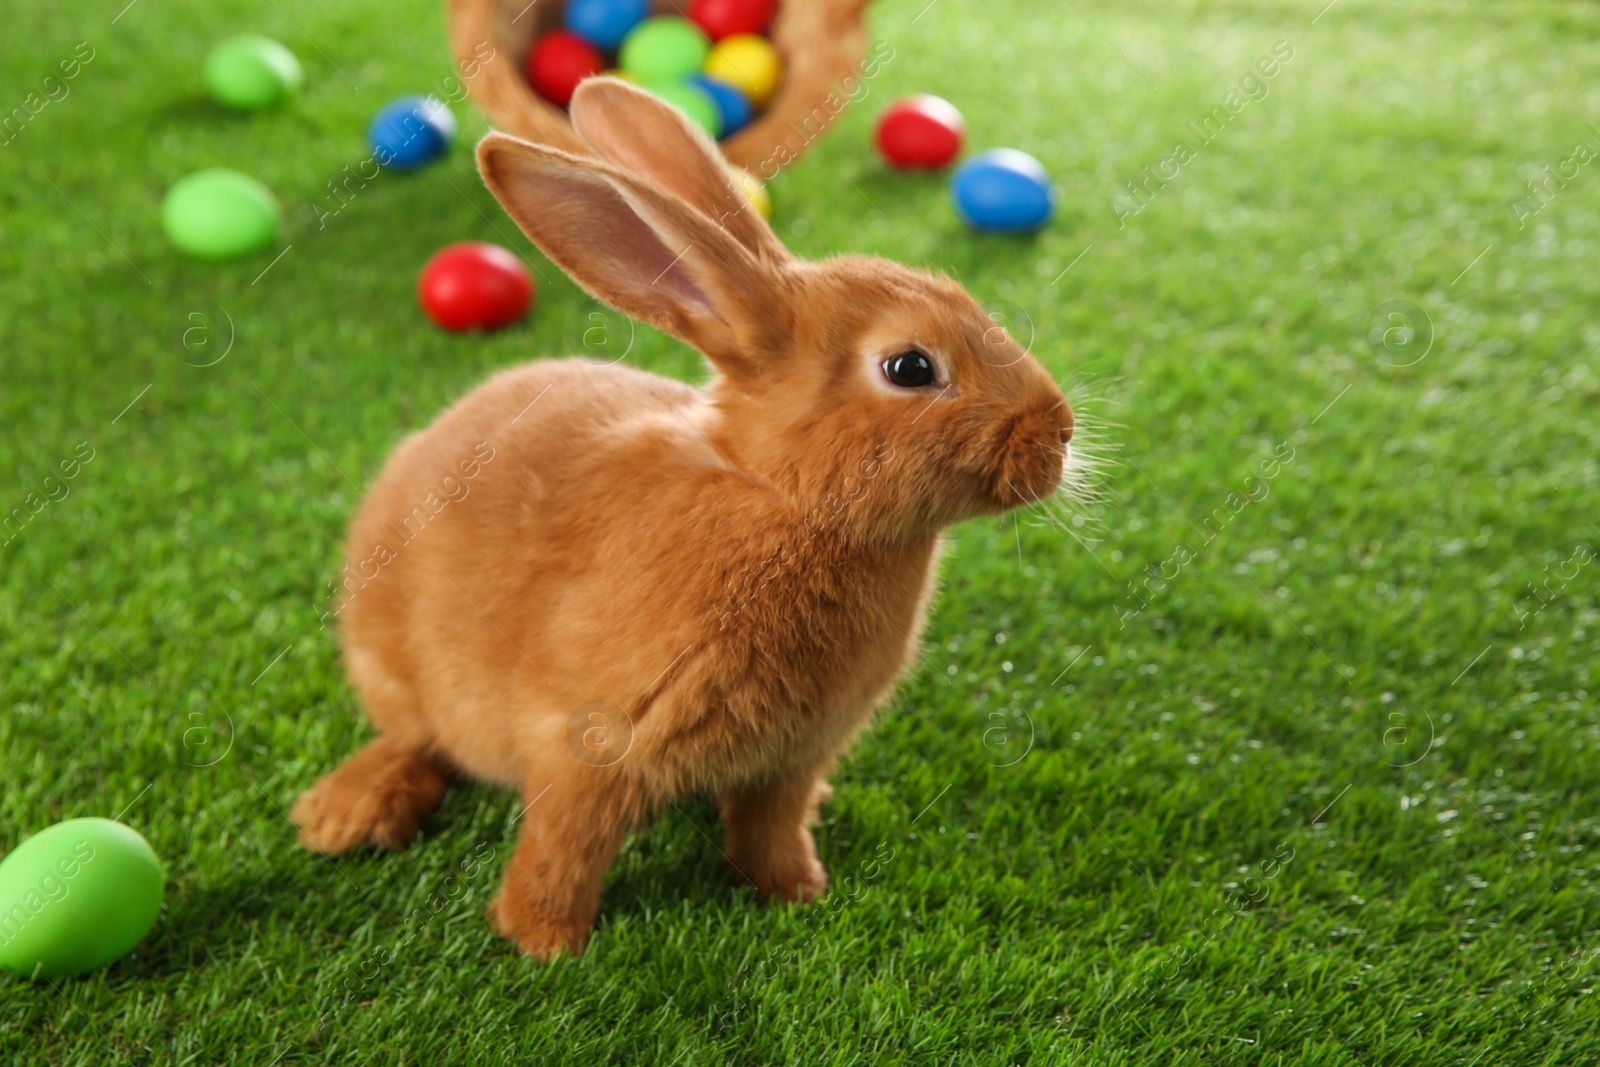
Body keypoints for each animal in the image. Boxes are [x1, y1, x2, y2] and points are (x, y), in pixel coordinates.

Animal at [294, 77, 1081, 959]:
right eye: (910, 367)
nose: (1058, 433)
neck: (786, 504)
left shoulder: (792, 758)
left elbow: (770, 827)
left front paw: (796, 892)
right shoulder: (588, 741)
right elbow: (565, 845)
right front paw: (544, 943)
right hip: (392, 667)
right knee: (413, 739)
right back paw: (345, 813)